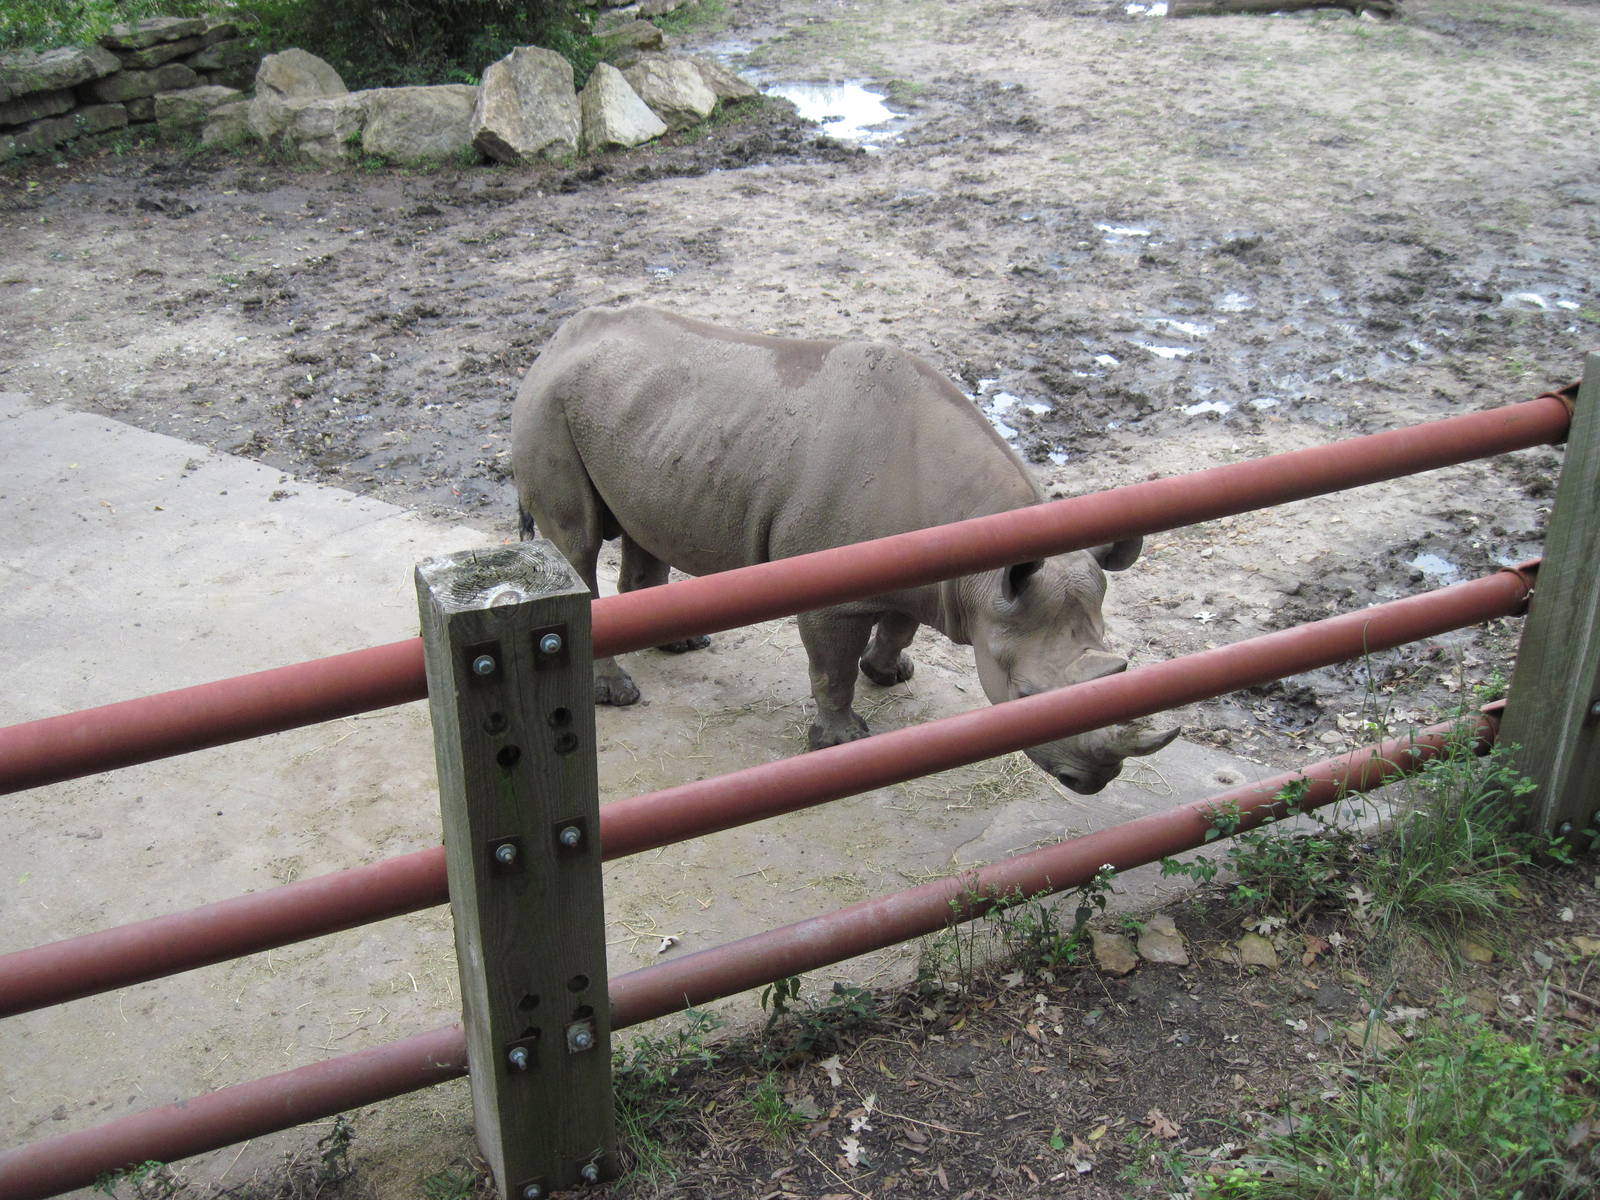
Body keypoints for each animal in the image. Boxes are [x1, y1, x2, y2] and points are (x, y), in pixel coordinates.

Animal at [511, 305, 1179, 794]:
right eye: (1027, 699)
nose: (1096, 781)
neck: (980, 564)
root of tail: (555, 340)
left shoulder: (925, 573)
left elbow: (900, 625)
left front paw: (889, 674)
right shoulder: (833, 595)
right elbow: (831, 666)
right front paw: (844, 742)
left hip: (639, 414)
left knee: (641, 525)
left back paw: (681, 646)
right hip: (549, 405)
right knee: (578, 543)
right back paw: (618, 695)